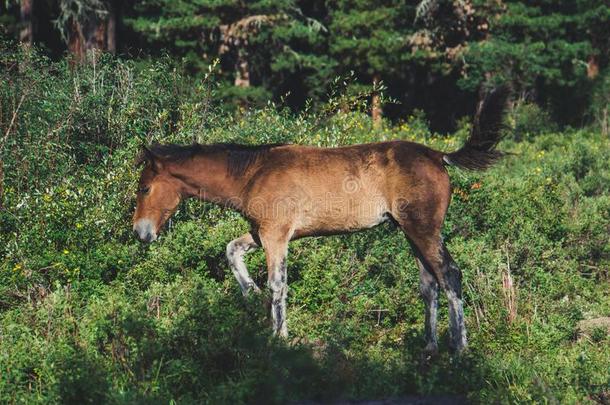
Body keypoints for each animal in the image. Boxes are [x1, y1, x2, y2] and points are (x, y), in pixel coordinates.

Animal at [132, 87, 508, 352]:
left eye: (145, 187)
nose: (140, 233)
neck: (253, 173)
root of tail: (437, 156)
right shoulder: (261, 232)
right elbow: (232, 251)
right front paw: (251, 293)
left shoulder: (276, 235)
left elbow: (278, 284)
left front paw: (278, 337)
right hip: (410, 231)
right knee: (429, 283)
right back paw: (429, 347)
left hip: (423, 229)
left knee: (450, 275)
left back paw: (459, 349)